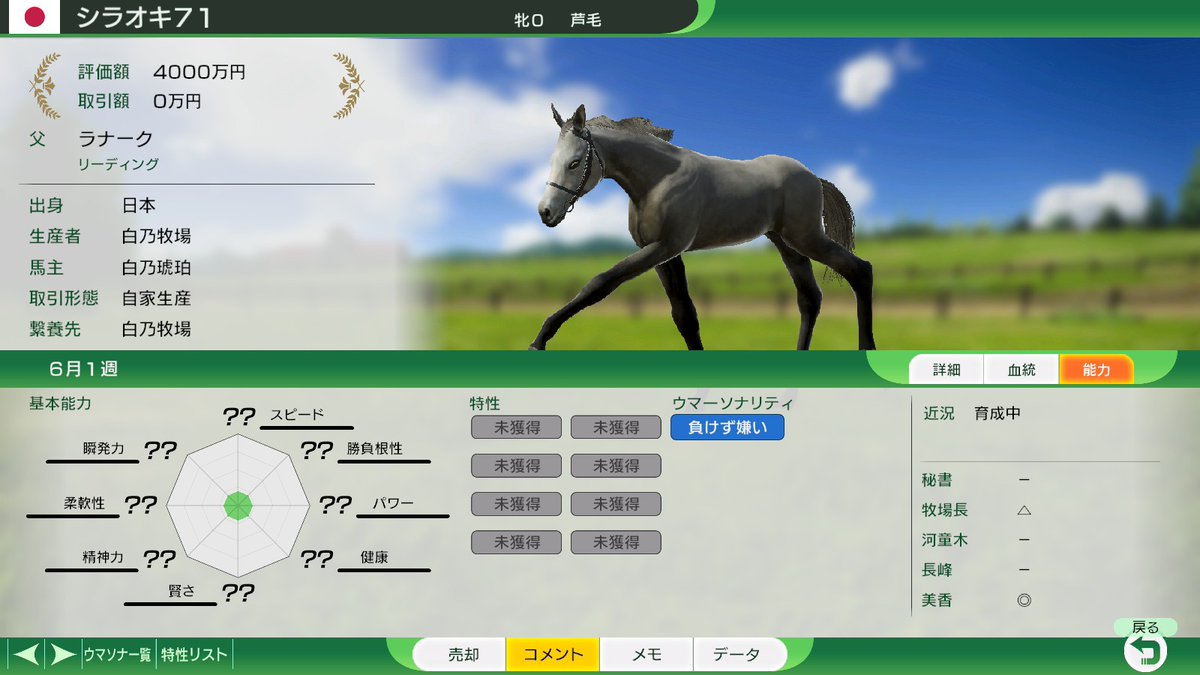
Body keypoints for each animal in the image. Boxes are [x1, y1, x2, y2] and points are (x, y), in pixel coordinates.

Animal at [530, 103, 876, 351]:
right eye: (552, 161)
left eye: (575, 163)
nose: (546, 212)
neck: (658, 179)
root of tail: (814, 177)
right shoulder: (664, 255)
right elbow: (684, 316)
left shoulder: (665, 247)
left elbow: (600, 283)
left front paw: (540, 339)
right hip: (786, 243)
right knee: (809, 297)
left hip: (806, 238)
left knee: (860, 270)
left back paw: (867, 346)